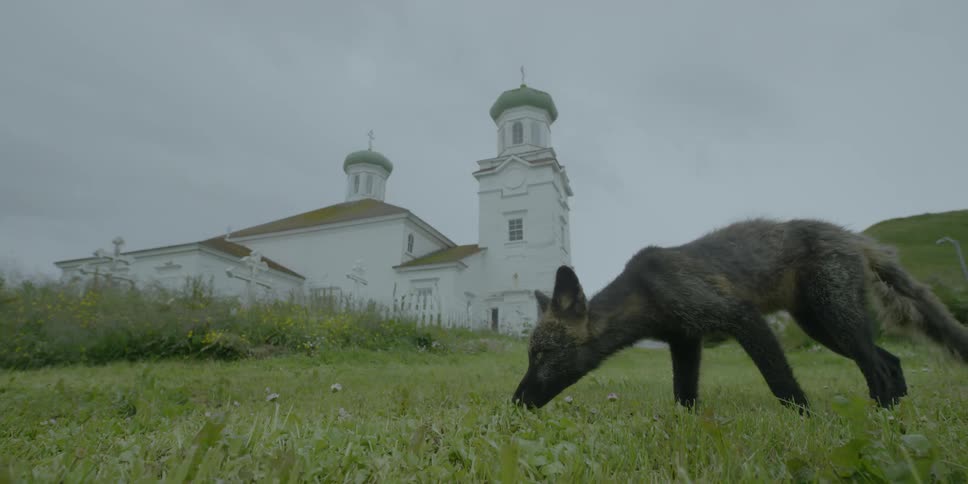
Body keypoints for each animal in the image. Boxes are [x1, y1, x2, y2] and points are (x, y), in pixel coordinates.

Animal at [511, 218, 968, 412]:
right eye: (530, 355)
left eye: (542, 355)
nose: (515, 402)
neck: (647, 291)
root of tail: (853, 237)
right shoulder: (684, 340)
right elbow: (684, 397)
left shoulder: (741, 317)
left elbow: (783, 385)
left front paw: (806, 423)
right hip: (823, 328)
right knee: (892, 360)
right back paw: (895, 411)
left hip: (838, 322)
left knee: (879, 367)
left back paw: (884, 418)